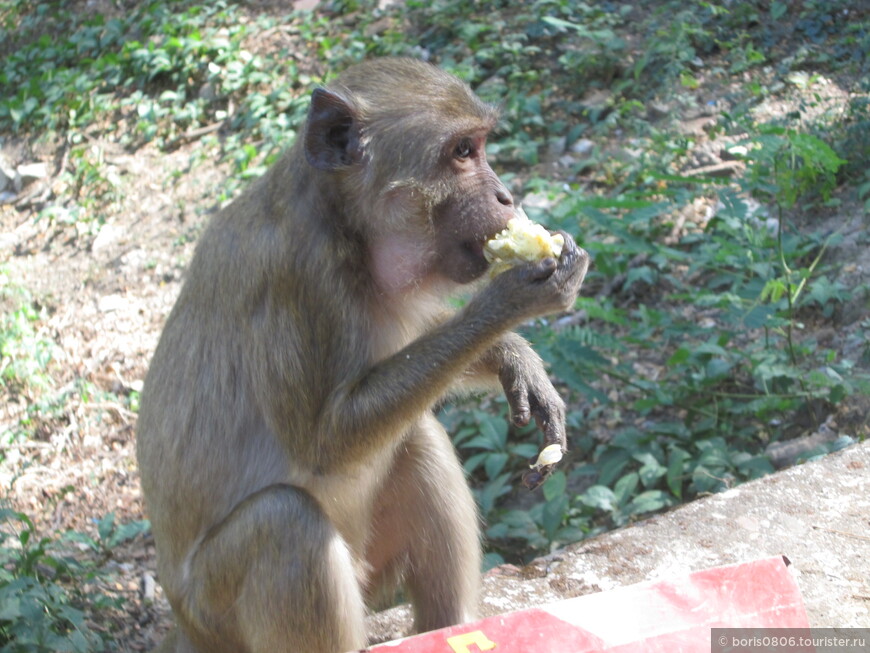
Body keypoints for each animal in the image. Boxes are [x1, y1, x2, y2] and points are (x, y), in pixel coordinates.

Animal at [136, 57, 588, 652]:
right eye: (462, 151)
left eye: (481, 146)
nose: (506, 198)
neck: (346, 226)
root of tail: (182, 622)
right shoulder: (301, 276)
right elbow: (323, 442)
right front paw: (513, 299)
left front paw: (514, 356)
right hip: (216, 614)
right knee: (287, 522)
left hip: (368, 569)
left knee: (417, 436)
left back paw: (454, 625)